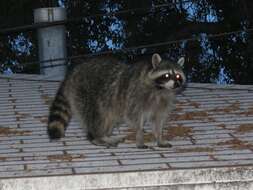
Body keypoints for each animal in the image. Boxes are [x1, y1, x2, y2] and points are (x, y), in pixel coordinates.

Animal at [47, 53, 186, 148]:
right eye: (167, 75)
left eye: (178, 76)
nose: (176, 84)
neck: (161, 89)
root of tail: (73, 72)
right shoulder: (135, 96)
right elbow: (134, 117)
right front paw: (140, 136)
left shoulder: (163, 102)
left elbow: (158, 120)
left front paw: (159, 137)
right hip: (86, 93)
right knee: (96, 117)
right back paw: (96, 137)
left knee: (109, 119)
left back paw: (105, 135)